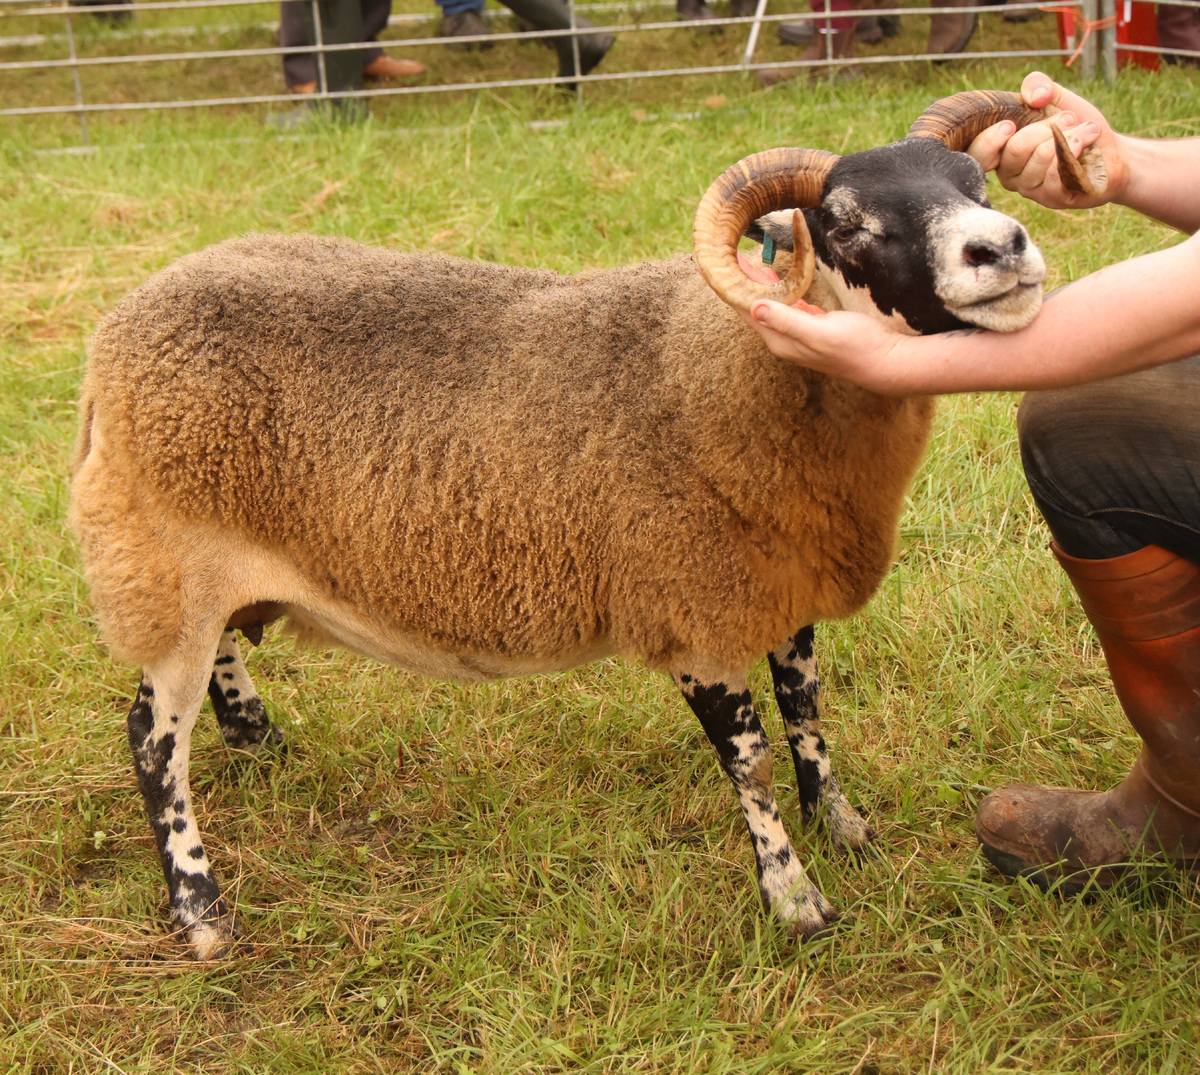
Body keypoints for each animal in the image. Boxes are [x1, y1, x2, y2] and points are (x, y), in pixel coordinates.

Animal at [70, 90, 1101, 959]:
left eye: (976, 183)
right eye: (845, 221)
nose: (1002, 248)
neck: (723, 369)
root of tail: (117, 328)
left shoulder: (780, 585)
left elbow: (808, 714)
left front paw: (844, 828)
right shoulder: (693, 613)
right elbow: (753, 762)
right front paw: (795, 898)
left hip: (192, 559)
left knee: (218, 654)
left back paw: (256, 734)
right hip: (158, 556)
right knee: (152, 739)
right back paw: (202, 913)